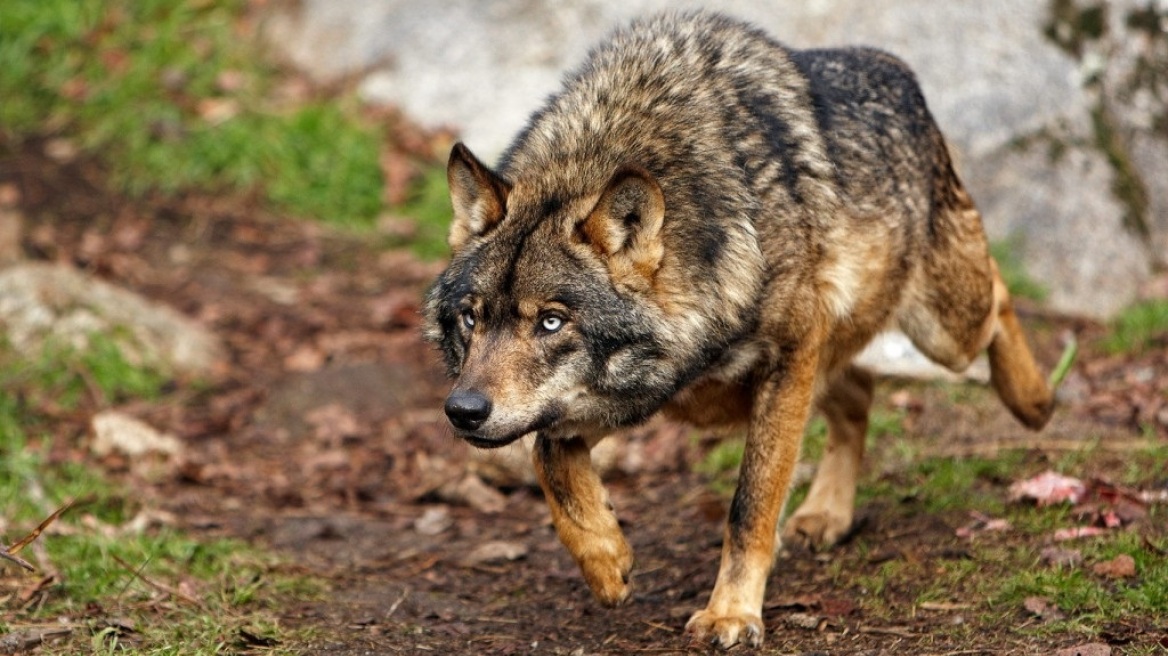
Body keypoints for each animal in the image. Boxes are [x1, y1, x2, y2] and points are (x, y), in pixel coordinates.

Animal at [422, 10, 1060, 648]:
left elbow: (749, 505)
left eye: (551, 321)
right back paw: (826, 514)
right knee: (858, 391)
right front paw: (606, 560)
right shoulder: (643, 392)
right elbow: (551, 457)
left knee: (1000, 296)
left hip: (942, 329)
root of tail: (895, 67)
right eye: (471, 317)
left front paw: (731, 612)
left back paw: (1034, 402)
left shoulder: (787, 359)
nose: (463, 411)